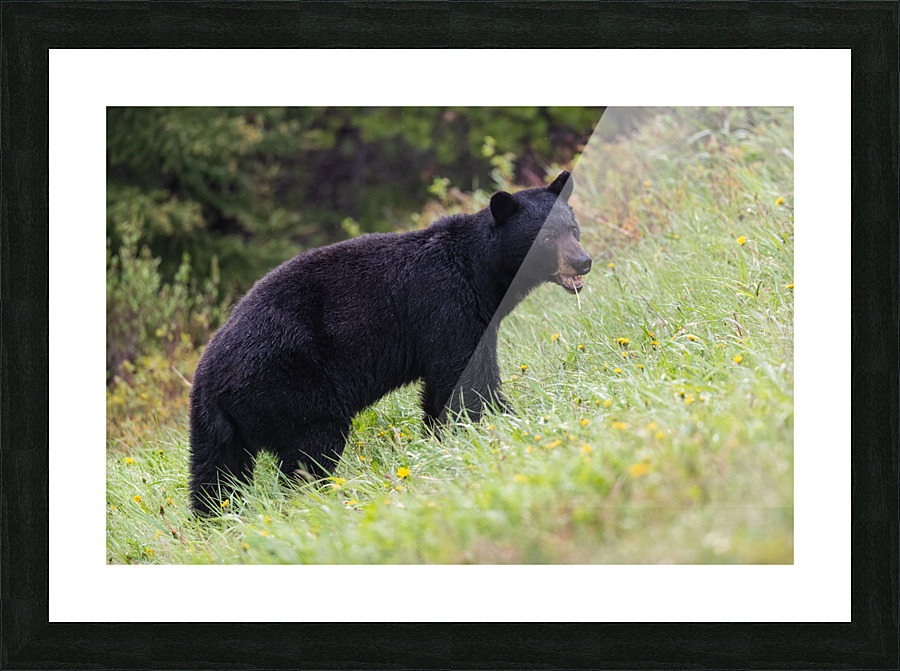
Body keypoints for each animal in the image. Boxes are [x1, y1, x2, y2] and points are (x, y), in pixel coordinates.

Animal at [189, 171, 592, 514]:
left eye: (573, 229)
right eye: (547, 238)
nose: (583, 261)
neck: (480, 270)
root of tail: (209, 376)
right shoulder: (449, 308)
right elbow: (467, 379)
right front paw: (505, 422)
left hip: (219, 425)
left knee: (215, 474)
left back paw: (216, 518)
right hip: (290, 385)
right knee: (311, 449)